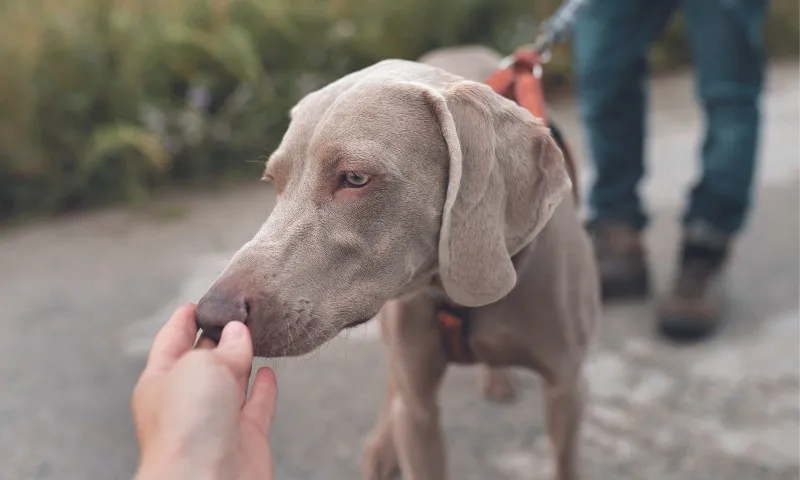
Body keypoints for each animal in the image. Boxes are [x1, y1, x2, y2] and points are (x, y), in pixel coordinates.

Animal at [197, 46, 600, 480]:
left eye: (355, 178)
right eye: (275, 182)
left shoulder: (566, 389)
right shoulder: (418, 412)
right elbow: (410, 407)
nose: (212, 315)